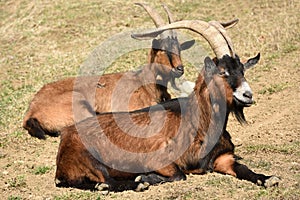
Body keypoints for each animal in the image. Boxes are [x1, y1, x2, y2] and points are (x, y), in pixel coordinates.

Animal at [54, 53, 278, 192]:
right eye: (222, 72)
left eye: (242, 70)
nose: (248, 95)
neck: (197, 124)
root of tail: (66, 136)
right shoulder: (158, 159)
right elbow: (179, 175)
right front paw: (145, 177)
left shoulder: (222, 158)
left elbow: (243, 168)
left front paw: (269, 179)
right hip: (92, 162)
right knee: (100, 180)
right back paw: (134, 184)